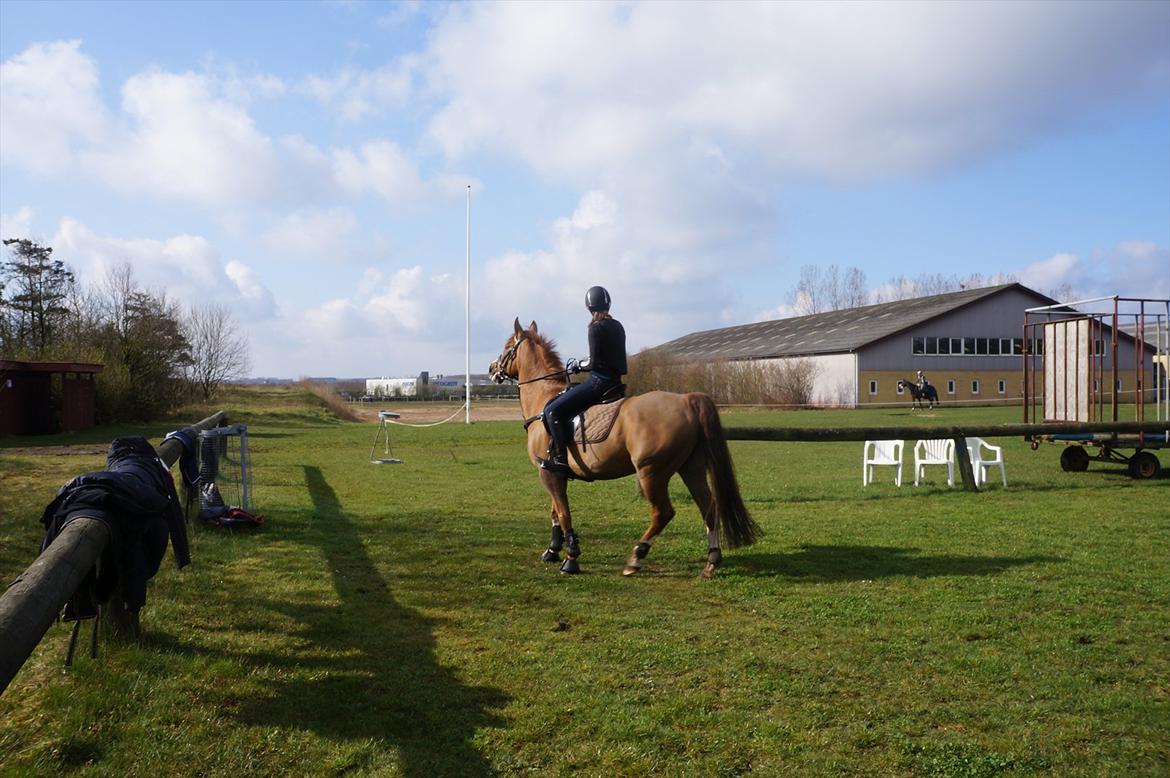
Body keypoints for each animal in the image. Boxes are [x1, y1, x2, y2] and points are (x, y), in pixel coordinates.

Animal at [489, 318, 762, 575]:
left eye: (507, 347)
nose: (492, 368)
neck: (544, 398)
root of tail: (686, 400)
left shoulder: (548, 472)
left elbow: (563, 513)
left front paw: (571, 558)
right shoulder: (554, 472)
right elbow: (555, 512)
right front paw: (552, 550)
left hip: (652, 472)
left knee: (663, 512)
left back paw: (636, 557)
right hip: (690, 468)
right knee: (708, 507)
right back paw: (711, 561)